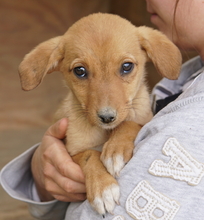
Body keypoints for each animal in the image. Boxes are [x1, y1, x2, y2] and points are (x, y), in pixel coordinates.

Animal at [18, 12, 182, 216]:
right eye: (80, 71)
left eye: (127, 66)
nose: (107, 117)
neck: (105, 132)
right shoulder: (70, 150)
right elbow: (89, 155)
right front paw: (103, 189)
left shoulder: (141, 117)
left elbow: (129, 123)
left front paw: (116, 150)